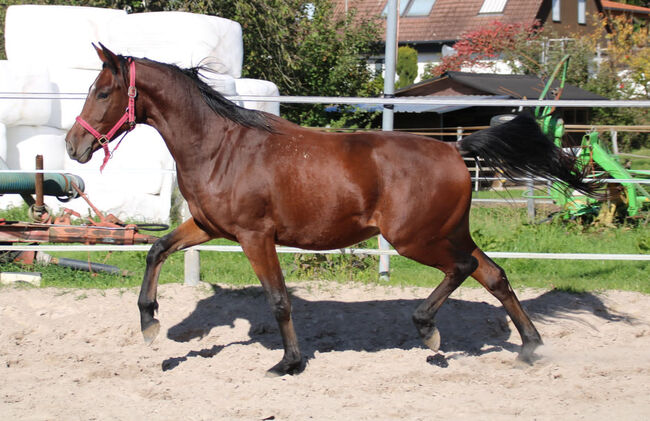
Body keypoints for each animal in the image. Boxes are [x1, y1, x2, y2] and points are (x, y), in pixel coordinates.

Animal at [64, 44, 592, 376]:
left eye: (104, 92)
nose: (73, 146)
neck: (220, 146)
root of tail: (455, 150)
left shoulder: (255, 236)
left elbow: (278, 299)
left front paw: (288, 363)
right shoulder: (209, 227)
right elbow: (156, 250)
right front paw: (150, 324)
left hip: (416, 239)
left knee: (462, 269)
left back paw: (428, 331)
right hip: (447, 232)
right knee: (494, 275)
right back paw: (530, 348)